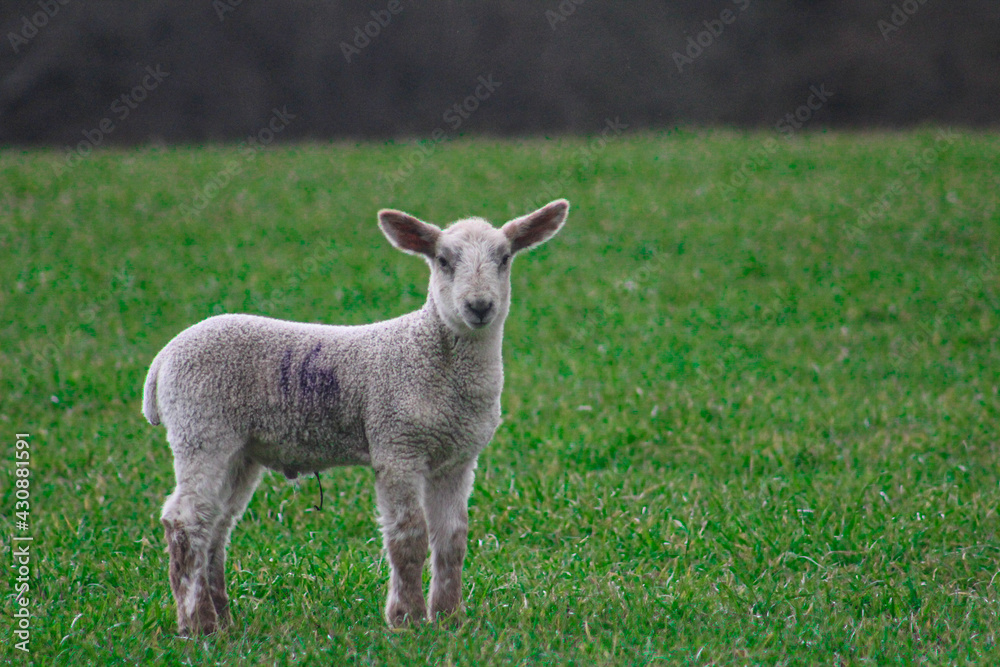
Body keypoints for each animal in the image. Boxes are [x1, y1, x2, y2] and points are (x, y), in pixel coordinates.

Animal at [141, 197, 572, 636]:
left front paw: (450, 618)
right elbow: (409, 538)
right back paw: (197, 624)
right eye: (443, 260)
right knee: (185, 521)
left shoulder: (457, 458)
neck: (435, 359)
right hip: (201, 428)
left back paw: (223, 619)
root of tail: (164, 357)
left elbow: (452, 539)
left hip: (239, 451)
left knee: (216, 525)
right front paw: (407, 619)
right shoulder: (397, 444)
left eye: (505, 257)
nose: (480, 307)